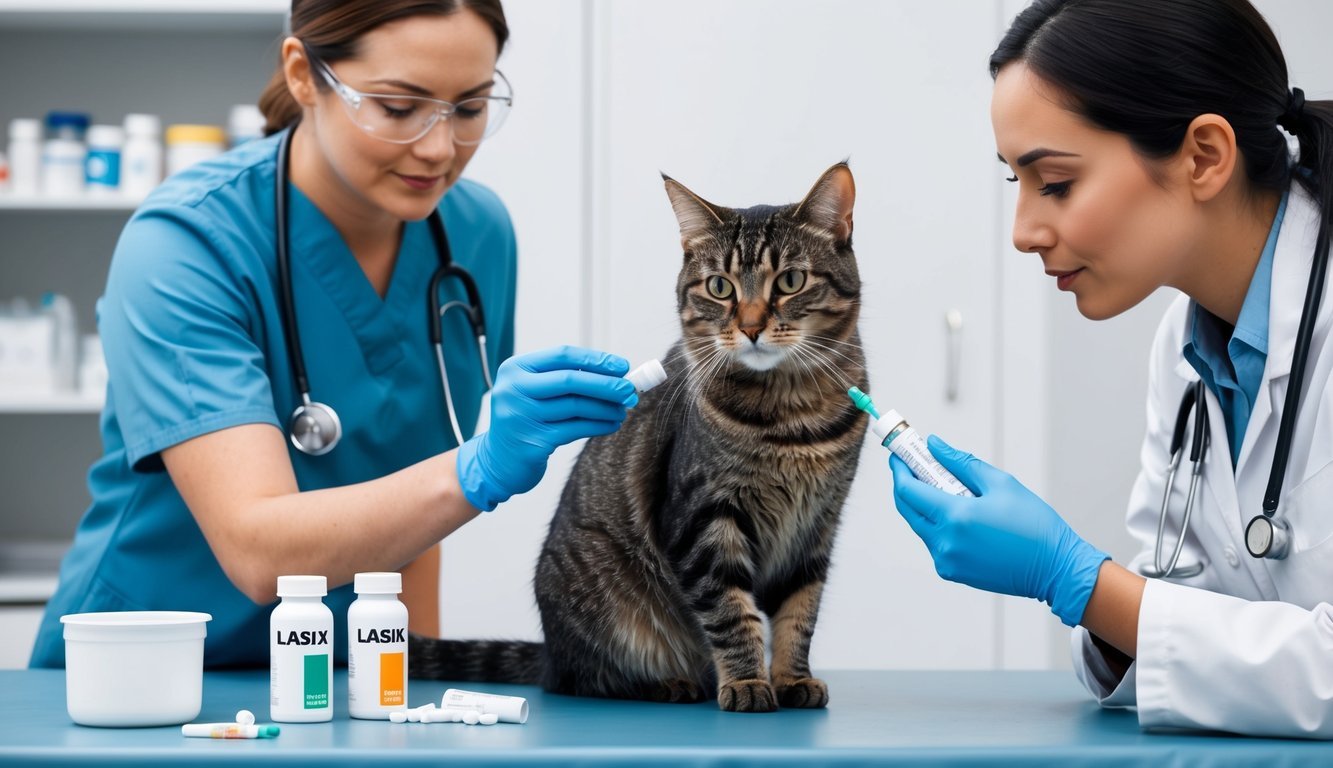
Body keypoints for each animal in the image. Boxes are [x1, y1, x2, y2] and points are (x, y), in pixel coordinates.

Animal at [415, 163, 874, 714]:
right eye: (720, 287)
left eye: (790, 280)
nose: (750, 327)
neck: (792, 418)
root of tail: (550, 650)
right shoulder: (703, 519)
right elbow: (731, 613)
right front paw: (746, 681)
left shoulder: (818, 525)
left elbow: (799, 613)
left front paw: (791, 677)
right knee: (583, 679)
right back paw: (667, 683)